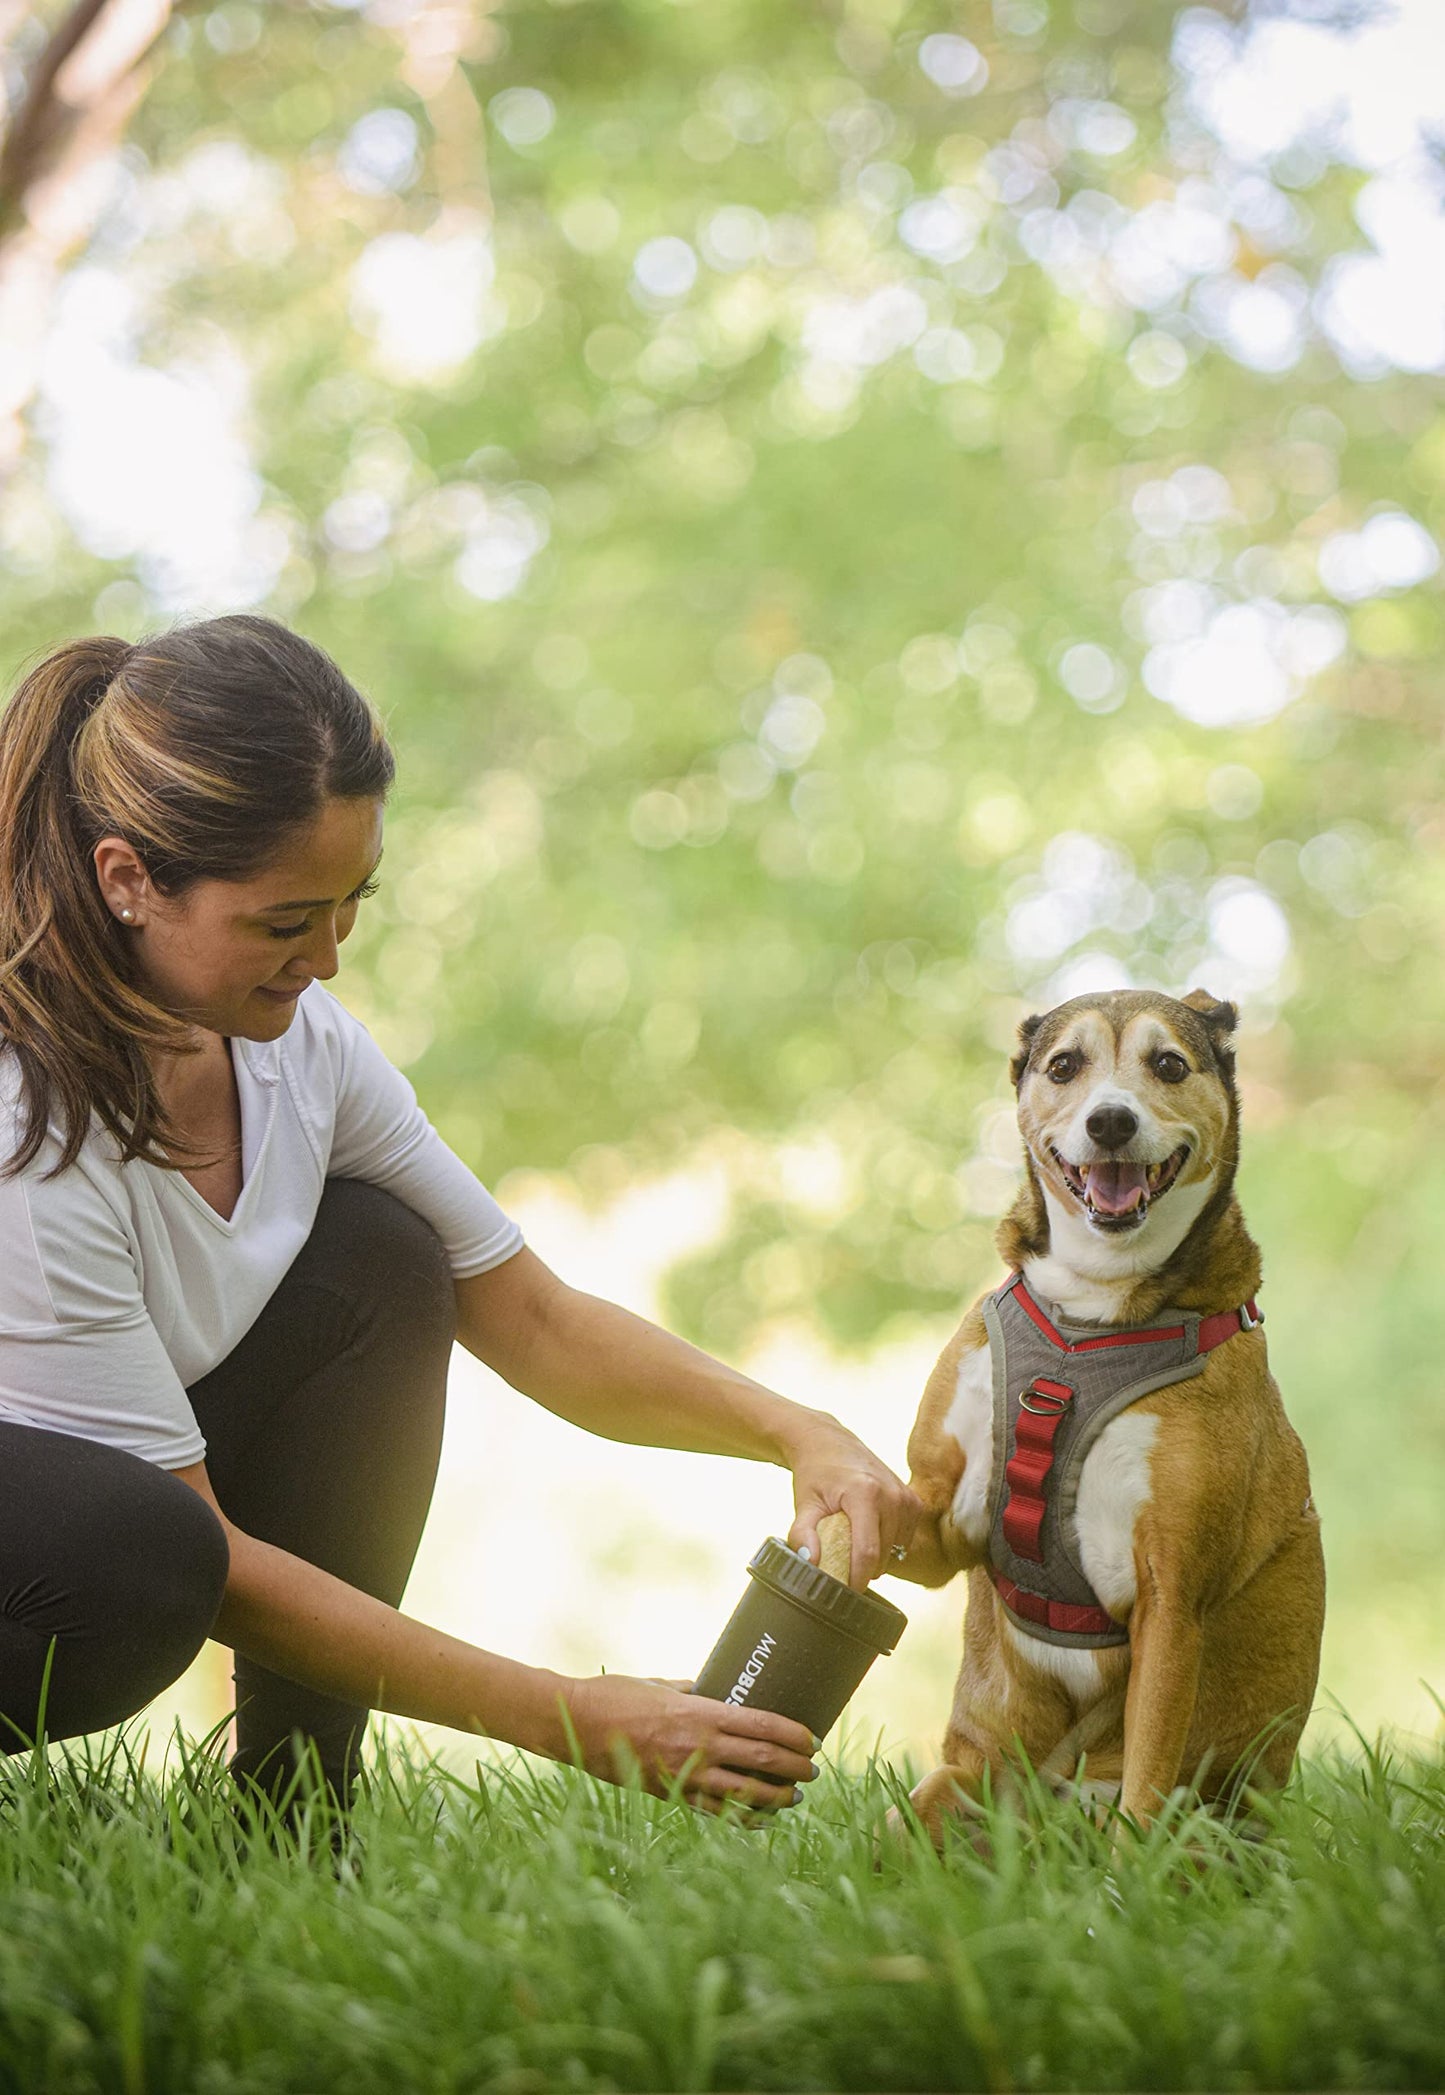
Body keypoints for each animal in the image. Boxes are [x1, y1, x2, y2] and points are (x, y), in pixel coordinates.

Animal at [896, 988, 1323, 1843]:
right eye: (1065, 1065)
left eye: (1168, 1064)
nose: (1111, 1122)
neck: (1092, 1310)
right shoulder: (940, 1514)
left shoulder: (1170, 1594)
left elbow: (1148, 1771)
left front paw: (1134, 1872)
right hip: (942, 1793)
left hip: (1216, 1819)